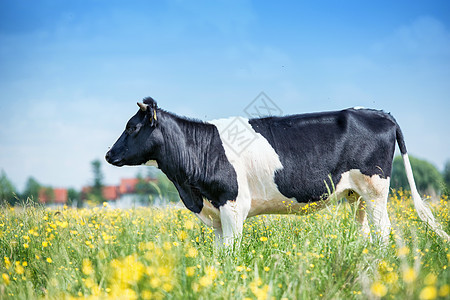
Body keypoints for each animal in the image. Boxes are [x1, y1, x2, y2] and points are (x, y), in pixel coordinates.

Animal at [106, 97, 450, 245]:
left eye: (132, 127)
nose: (109, 154)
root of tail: (377, 111)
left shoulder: (233, 205)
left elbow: (231, 253)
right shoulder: (215, 211)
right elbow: (218, 253)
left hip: (376, 188)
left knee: (383, 231)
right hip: (357, 195)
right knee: (365, 231)